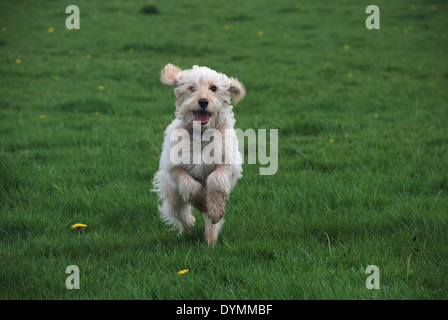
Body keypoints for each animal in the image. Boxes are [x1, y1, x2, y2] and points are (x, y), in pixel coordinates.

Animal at [153, 63, 245, 246]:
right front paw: (201, 202)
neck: (202, 135)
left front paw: (214, 209)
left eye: (214, 88)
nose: (203, 101)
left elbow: (216, 180)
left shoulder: (229, 163)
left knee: (210, 221)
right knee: (179, 213)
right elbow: (188, 184)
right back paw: (188, 228)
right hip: (173, 195)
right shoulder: (173, 167)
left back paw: (210, 240)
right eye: (191, 88)